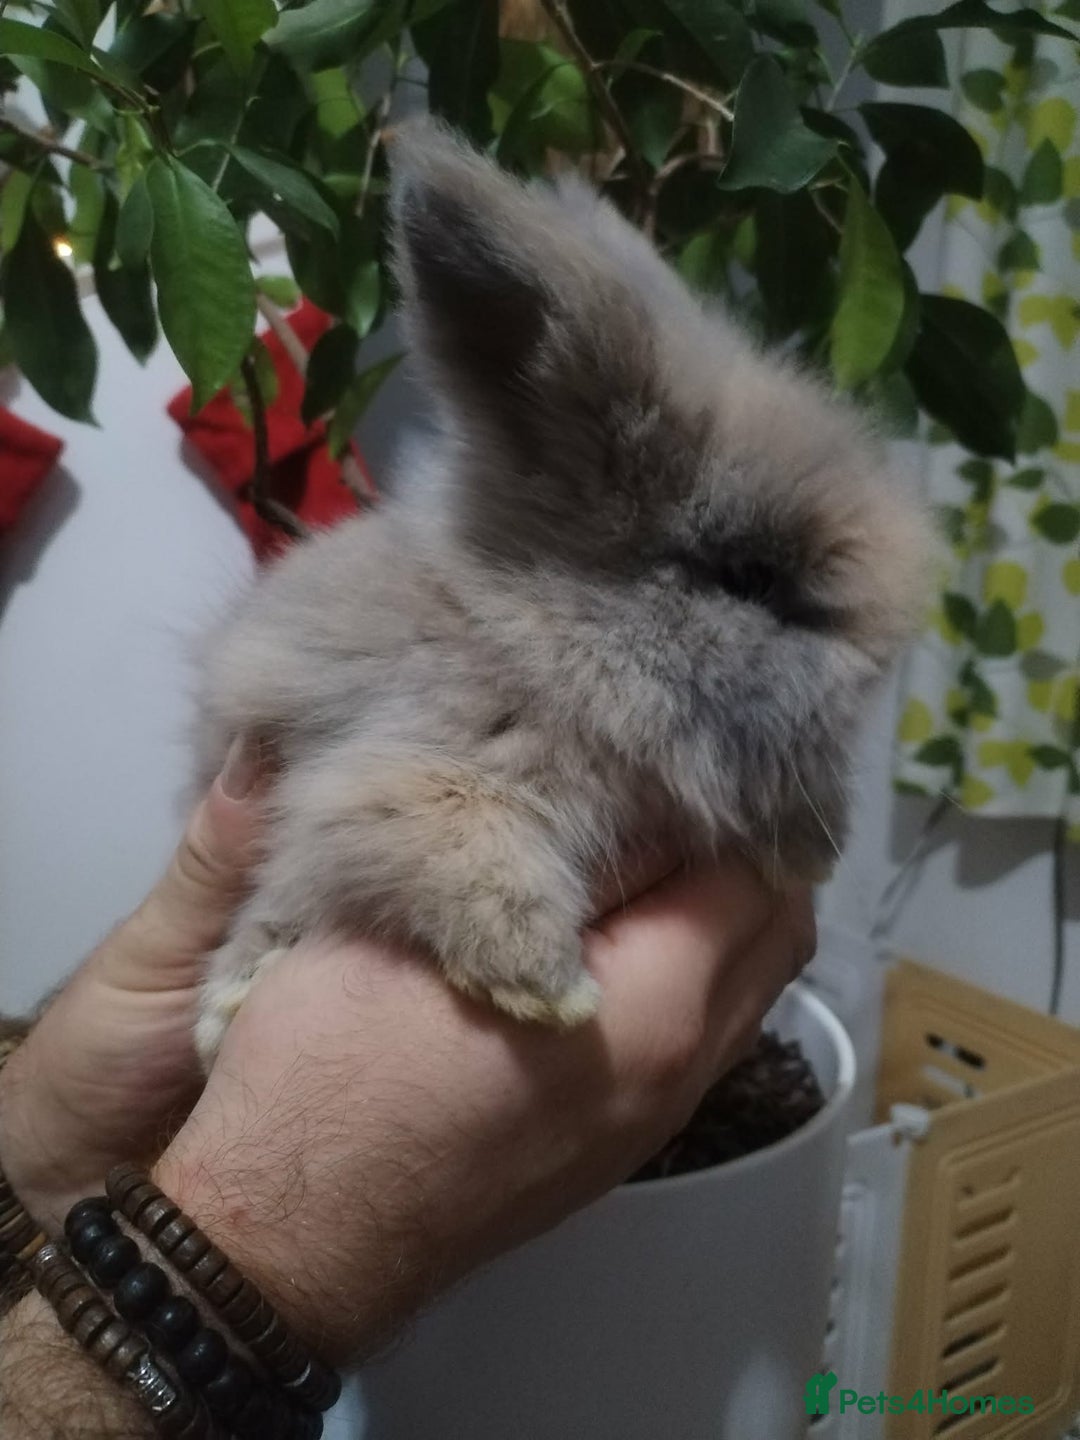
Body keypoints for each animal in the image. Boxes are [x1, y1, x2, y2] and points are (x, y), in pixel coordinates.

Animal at [193, 119, 931, 1065]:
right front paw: (546, 989)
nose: (888, 643)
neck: (548, 628)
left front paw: (812, 849)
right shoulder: (400, 772)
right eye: (750, 578)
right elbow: (440, 837)